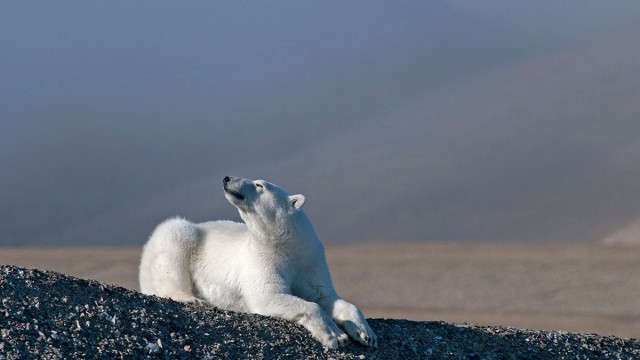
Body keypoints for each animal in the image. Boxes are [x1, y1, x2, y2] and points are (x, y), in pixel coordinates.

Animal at [139, 176, 376, 348]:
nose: (227, 178)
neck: (285, 246)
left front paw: (365, 333)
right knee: (174, 249)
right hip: (179, 236)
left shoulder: (309, 260)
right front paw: (335, 335)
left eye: (259, 184)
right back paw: (192, 298)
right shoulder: (261, 258)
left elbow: (323, 295)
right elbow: (269, 294)